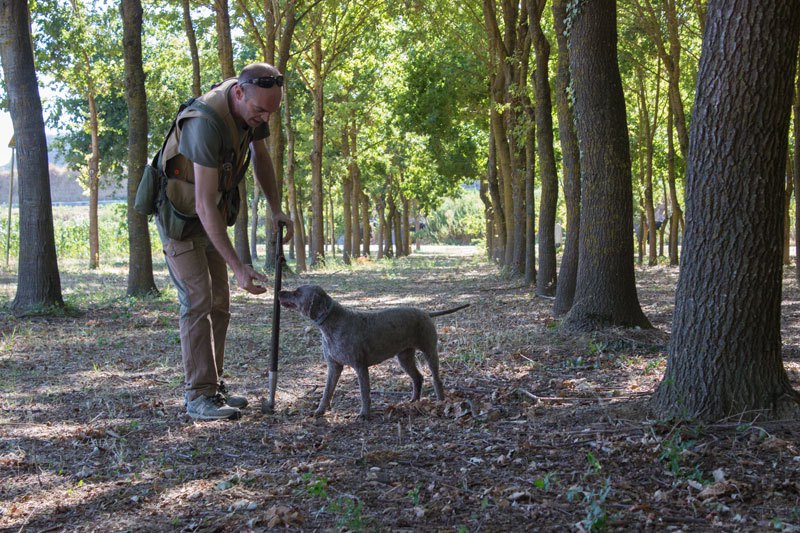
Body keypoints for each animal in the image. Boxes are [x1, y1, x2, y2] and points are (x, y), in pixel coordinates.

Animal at [280, 284, 468, 418]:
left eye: (297, 293)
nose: (280, 291)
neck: (331, 324)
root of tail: (426, 313)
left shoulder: (360, 366)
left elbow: (364, 393)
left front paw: (364, 414)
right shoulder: (334, 366)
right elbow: (327, 391)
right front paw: (320, 411)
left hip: (429, 351)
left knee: (436, 379)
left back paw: (441, 402)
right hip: (404, 357)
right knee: (418, 377)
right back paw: (413, 401)